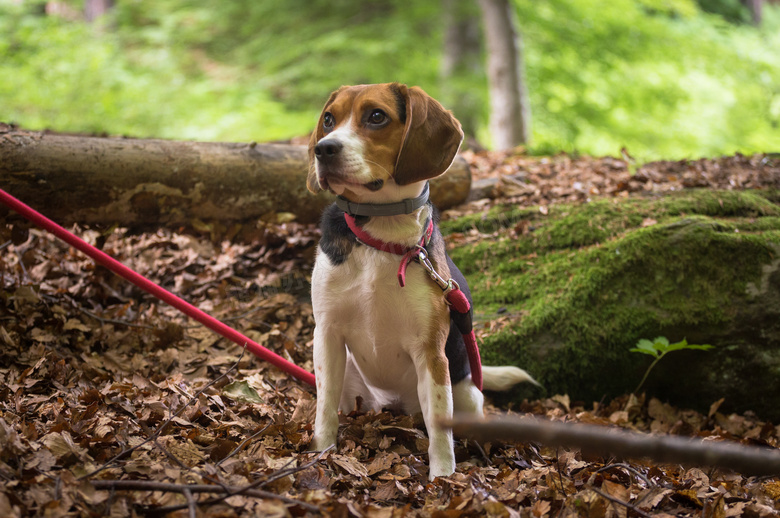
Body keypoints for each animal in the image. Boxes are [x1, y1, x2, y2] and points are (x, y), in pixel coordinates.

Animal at [304, 83, 536, 482]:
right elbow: (325, 407)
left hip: (467, 391)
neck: (380, 234)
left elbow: (439, 427)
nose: (324, 148)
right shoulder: (328, 335)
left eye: (376, 116)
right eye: (329, 119)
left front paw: (442, 479)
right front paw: (321, 453)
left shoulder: (430, 351)